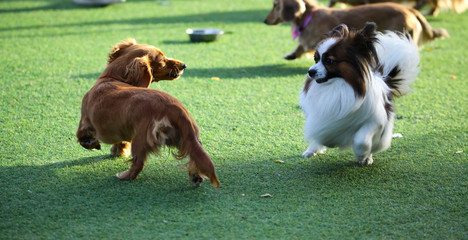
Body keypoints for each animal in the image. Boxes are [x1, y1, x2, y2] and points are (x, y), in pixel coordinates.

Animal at [77, 39, 221, 188]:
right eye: (162, 60)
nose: (184, 65)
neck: (111, 78)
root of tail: (175, 108)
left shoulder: (84, 121)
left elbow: (82, 138)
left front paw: (92, 143)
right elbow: (122, 142)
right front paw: (118, 151)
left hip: (140, 138)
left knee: (138, 163)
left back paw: (125, 176)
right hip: (186, 138)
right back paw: (196, 176)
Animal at [266, 0, 448, 59]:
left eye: (275, 5)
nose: (265, 21)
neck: (310, 16)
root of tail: (411, 11)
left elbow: (306, 47)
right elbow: (300, 47)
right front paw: (291, 55)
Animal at [300, 22, 420, 164]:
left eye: (329, 61)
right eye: (315, 59)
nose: (310, 71)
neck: (338, 85)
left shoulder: (374, 121)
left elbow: (362, 140)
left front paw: (362, 155)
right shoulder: (323, 119)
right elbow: (322, 133)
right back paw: (312, 150)